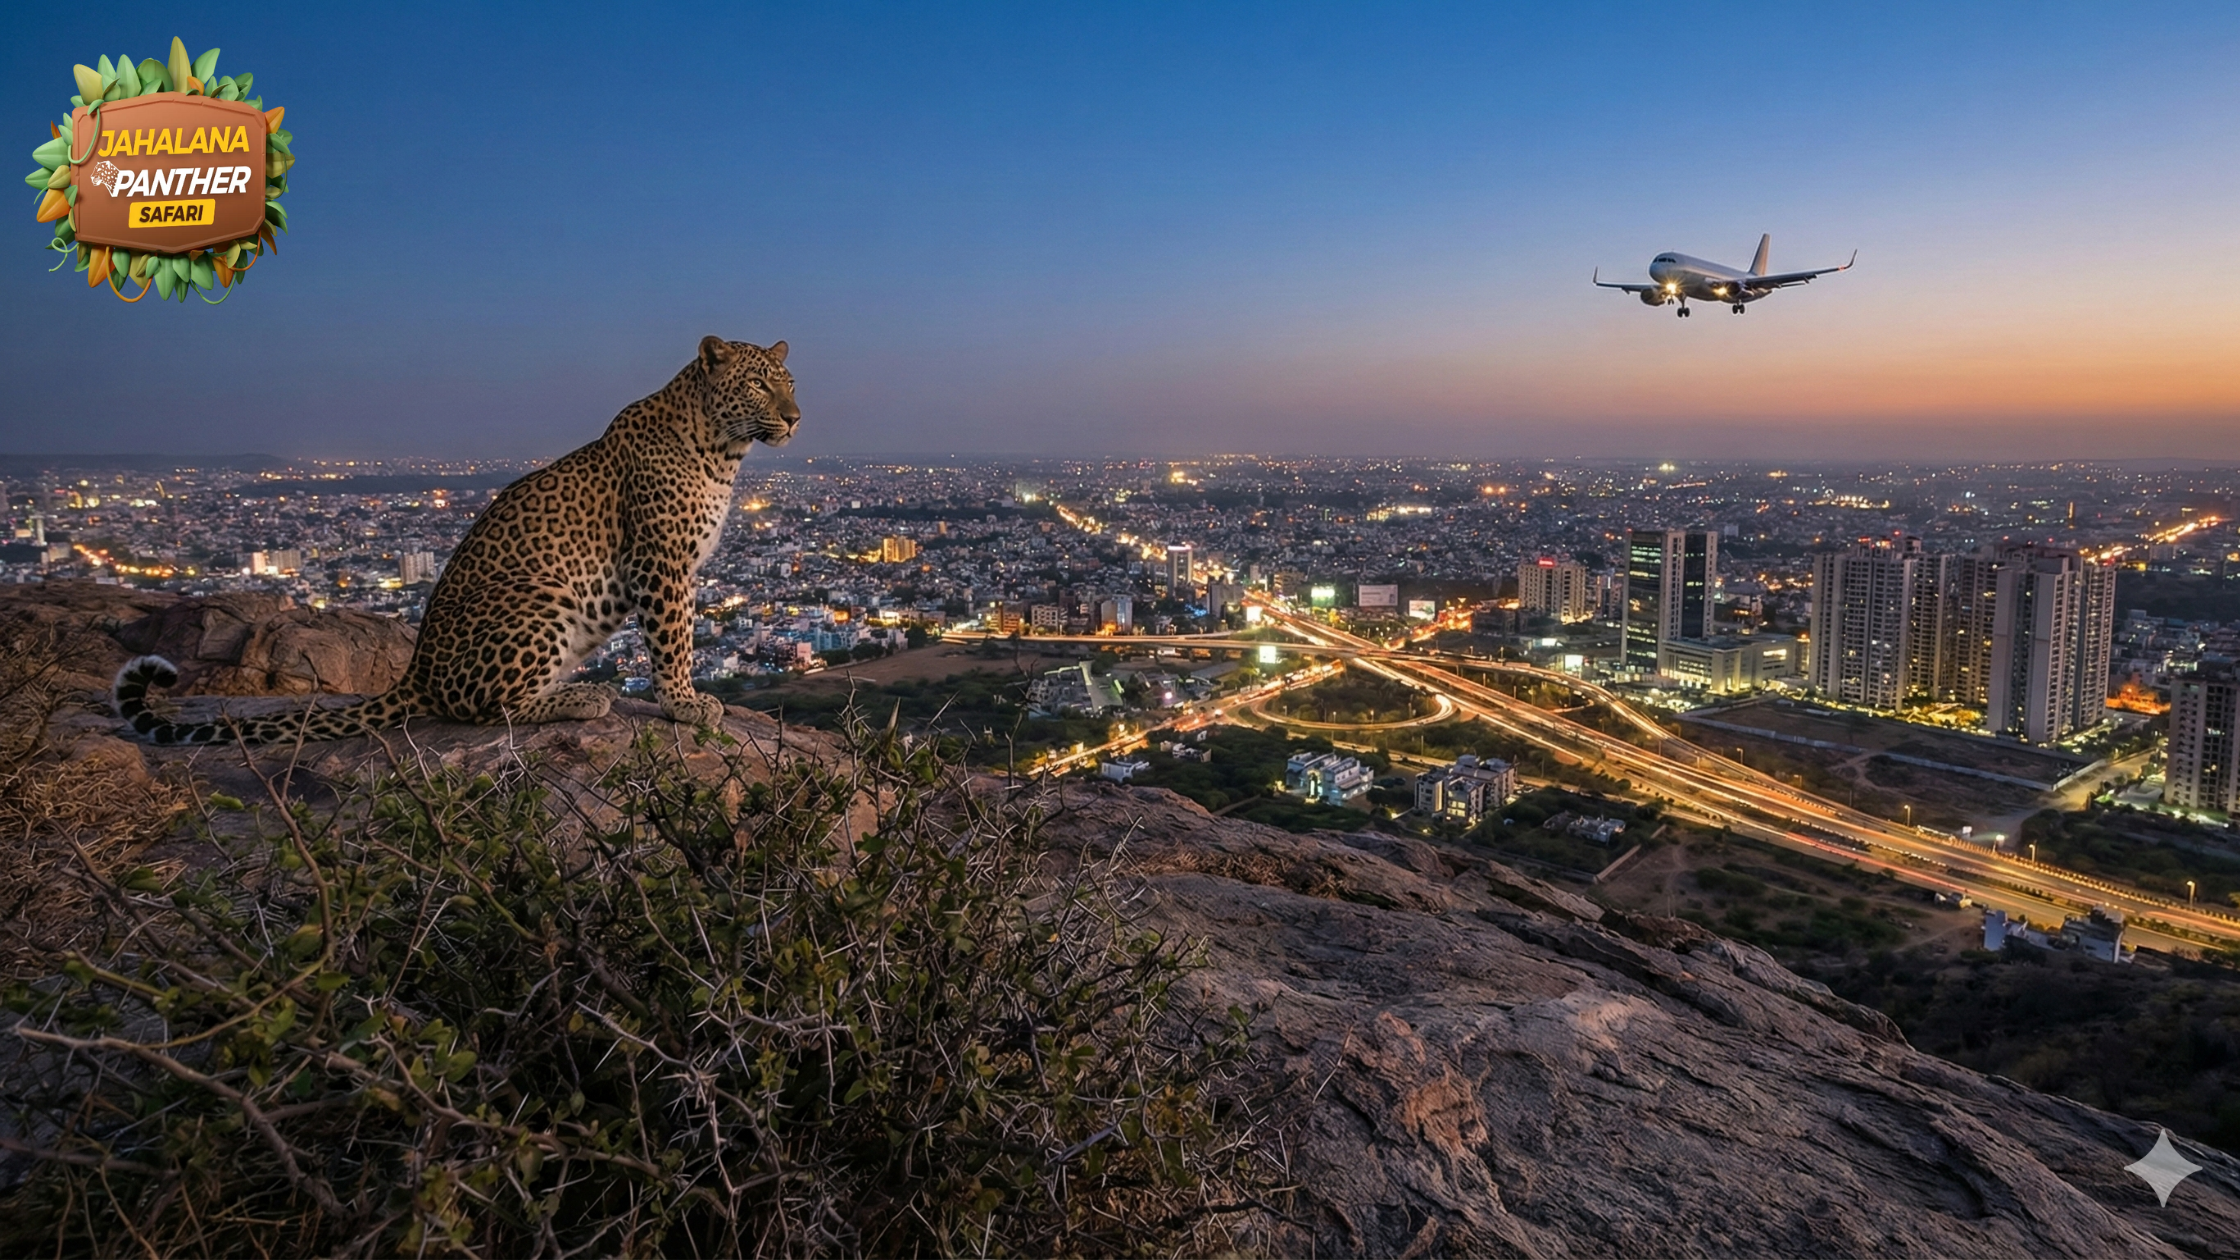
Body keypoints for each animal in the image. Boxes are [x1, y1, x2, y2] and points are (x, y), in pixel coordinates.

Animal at [114, 335, 800, 744]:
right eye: (758, 384)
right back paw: (585, 698)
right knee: (488, 709)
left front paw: (683, 701)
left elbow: (678, 635)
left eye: (790, 383)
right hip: (540, 596)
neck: (722, 451)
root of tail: (415, 672)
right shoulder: (659, 562)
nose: (795, 418)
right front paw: (685, 703)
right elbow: (672, 641)